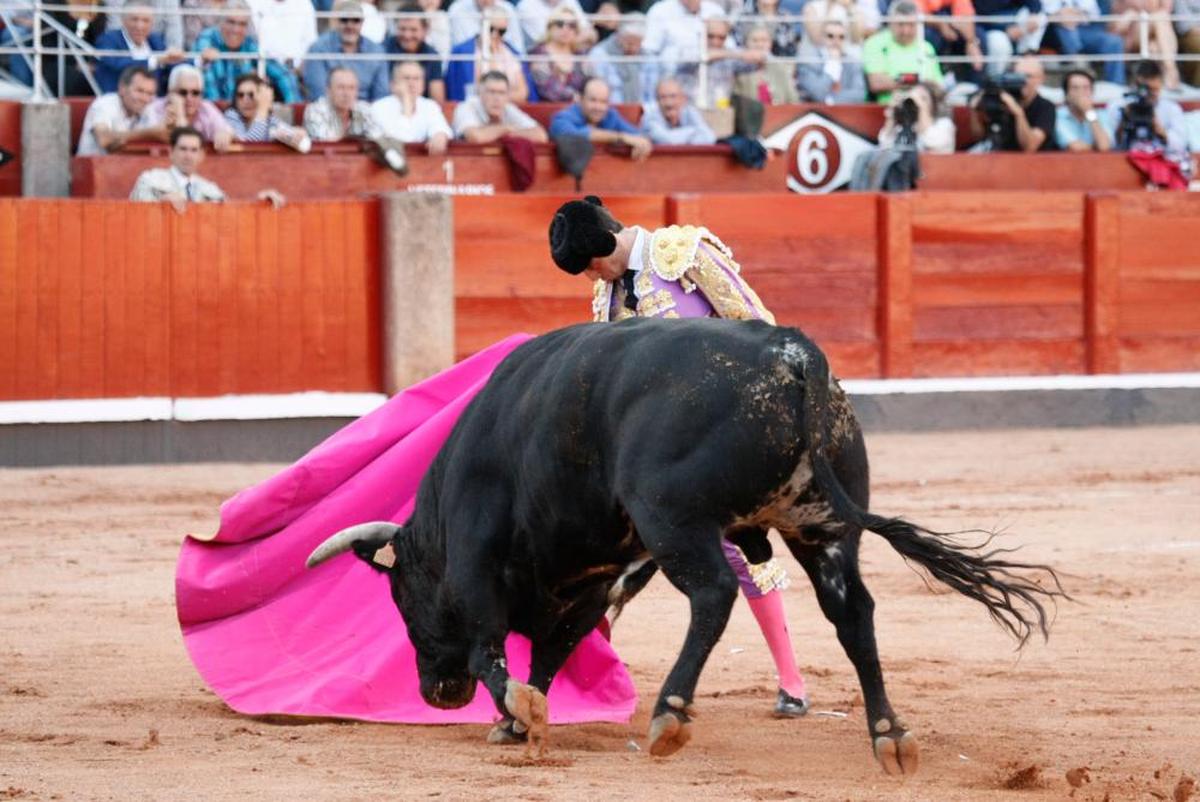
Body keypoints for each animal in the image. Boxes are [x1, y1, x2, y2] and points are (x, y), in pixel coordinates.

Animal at [307, 316, 1060, 768]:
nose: (436, 693)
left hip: (676, 521)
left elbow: (495, 651)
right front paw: (522, 720)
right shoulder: (590, 582)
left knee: (716, 594)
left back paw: (670, 714)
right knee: (852, 613)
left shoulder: (478, 570)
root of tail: (792, 352)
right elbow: (550, 654)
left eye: (402, 601)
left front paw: (517, 714)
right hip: (823, 528)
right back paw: (890, 736)